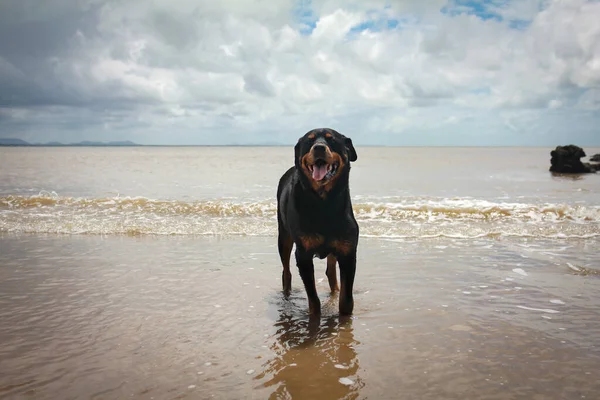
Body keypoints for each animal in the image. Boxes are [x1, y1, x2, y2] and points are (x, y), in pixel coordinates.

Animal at [278, 128, 358, 316]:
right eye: (309, 141)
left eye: (332, 140)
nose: (319, 148)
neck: (324, 202)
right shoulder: (303, 254)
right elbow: (313, 299)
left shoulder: (348, 251)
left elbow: (346, 300)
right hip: (283, 235)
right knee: (286, 271)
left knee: (331, 272)